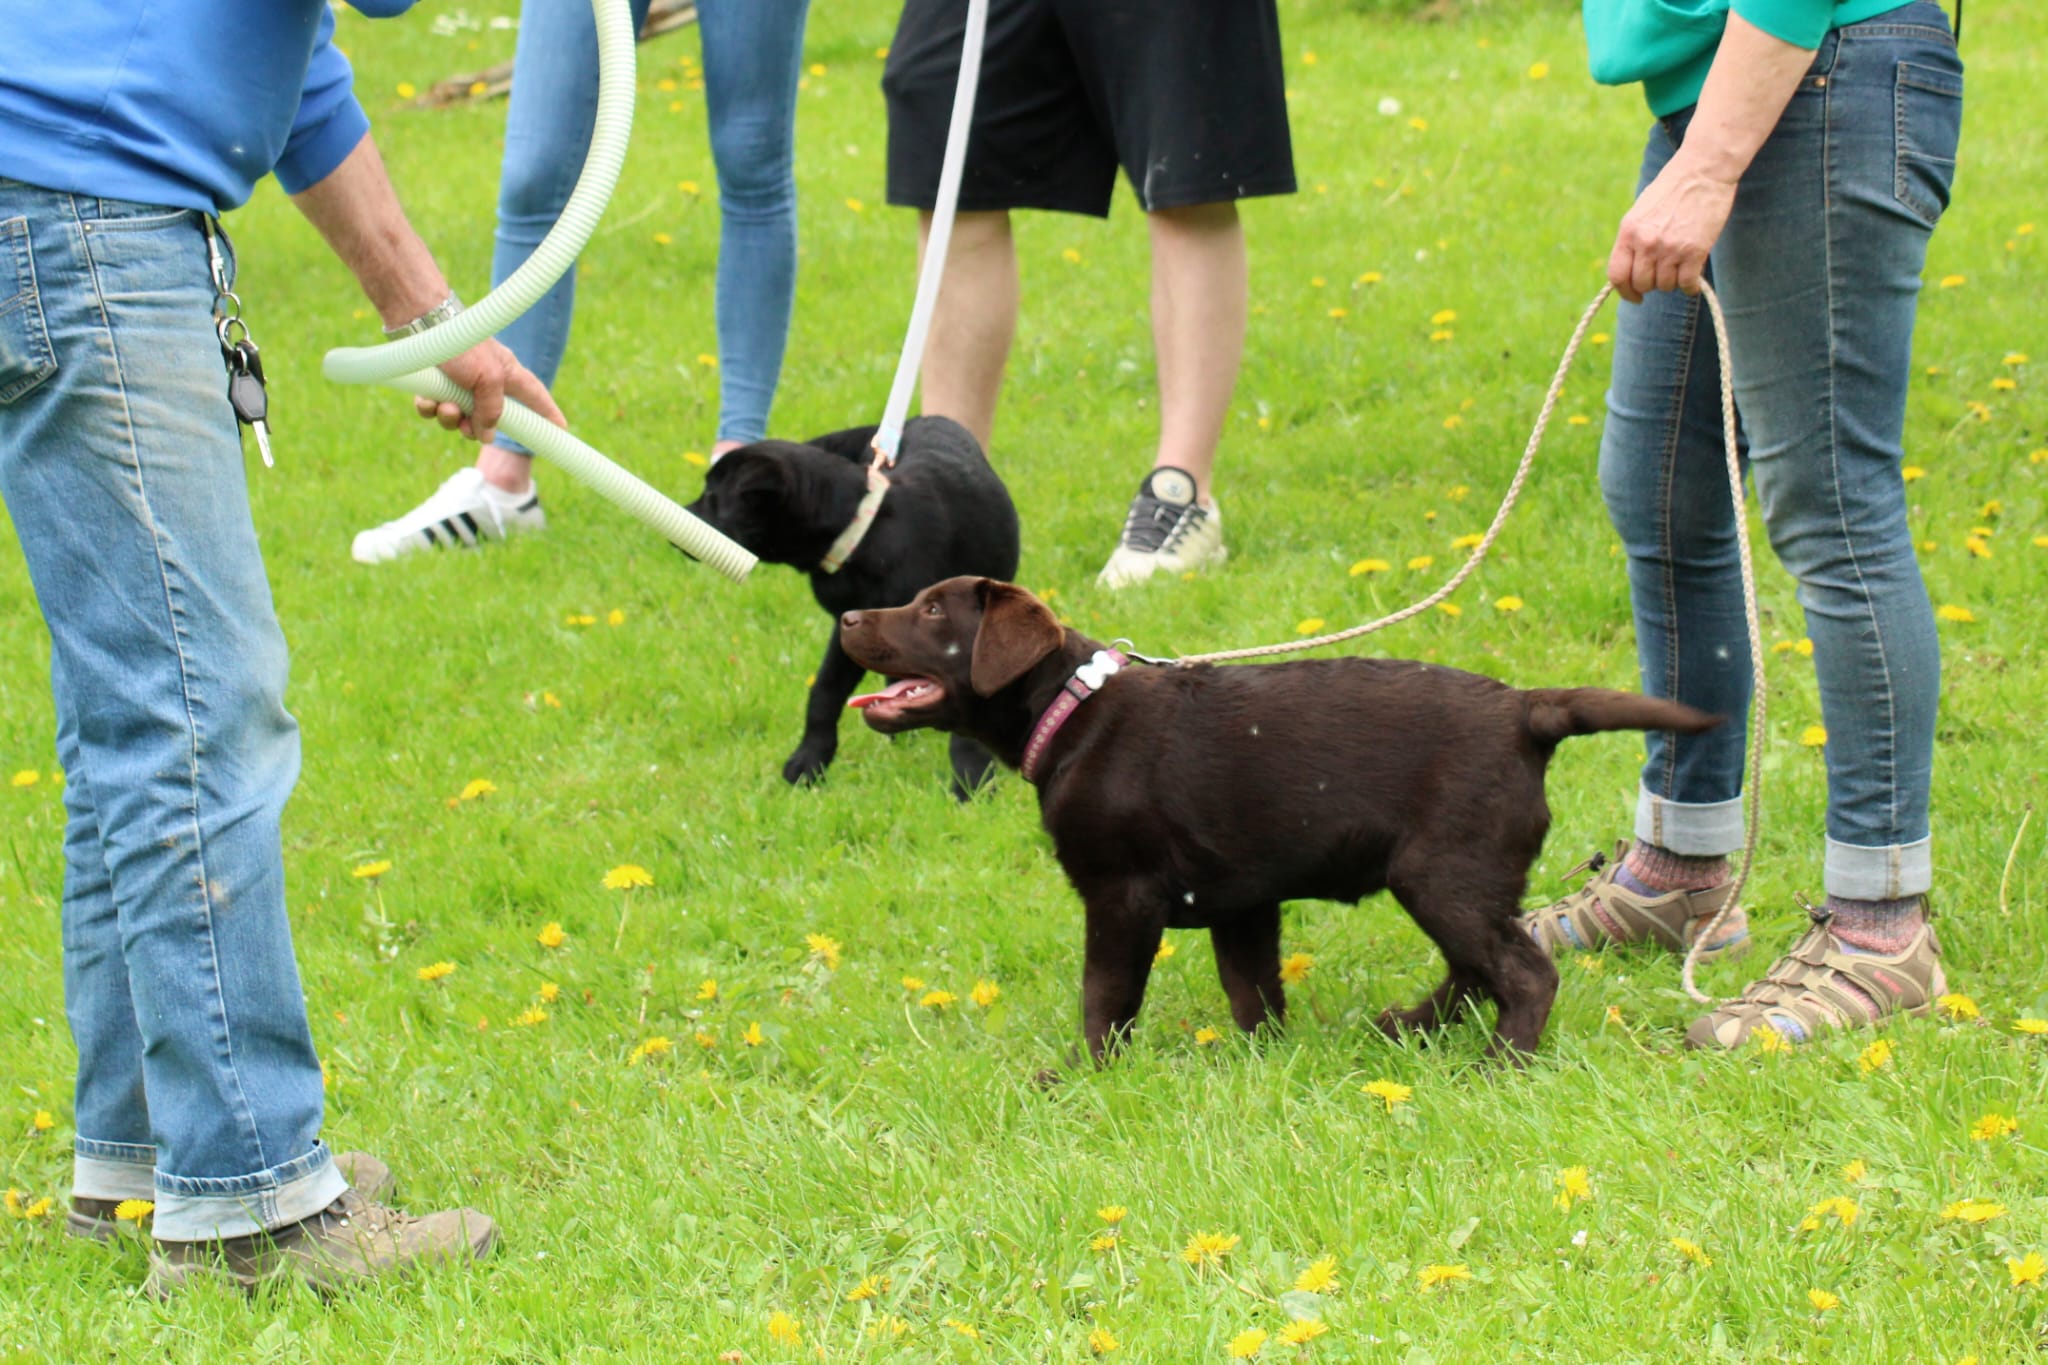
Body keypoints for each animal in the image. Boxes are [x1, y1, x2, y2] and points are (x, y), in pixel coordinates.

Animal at [684, 421, 1019, 794]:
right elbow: (825, 692)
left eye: (712, 497)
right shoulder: (851, 625)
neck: (865, 531)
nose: (684, 513)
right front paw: (808, 763)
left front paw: (973, 783)